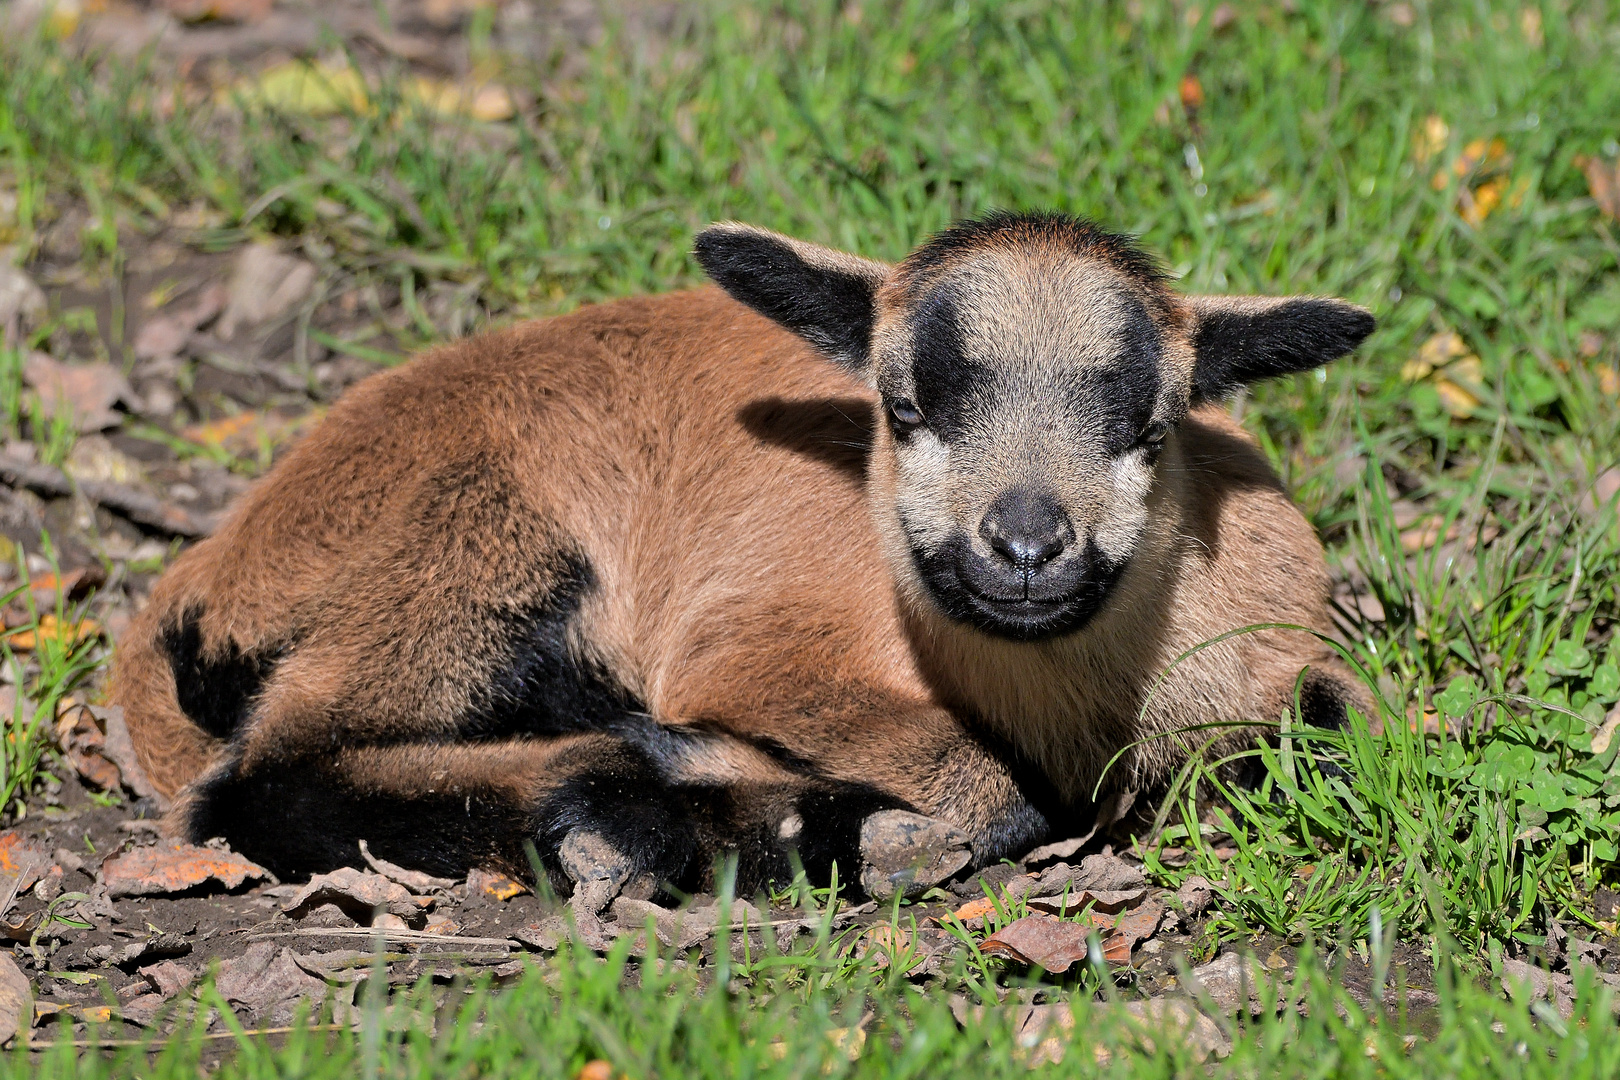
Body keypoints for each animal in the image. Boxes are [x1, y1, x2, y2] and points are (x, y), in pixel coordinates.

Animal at [114, 210, 1373, 906]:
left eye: (1149, 428)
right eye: (904, 409)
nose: (1023, 546)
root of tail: (219, 559)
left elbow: (1334, 728)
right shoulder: (757, 650)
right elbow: (984, 783)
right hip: (466, 550)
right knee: (266, 778)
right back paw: (630, 813)